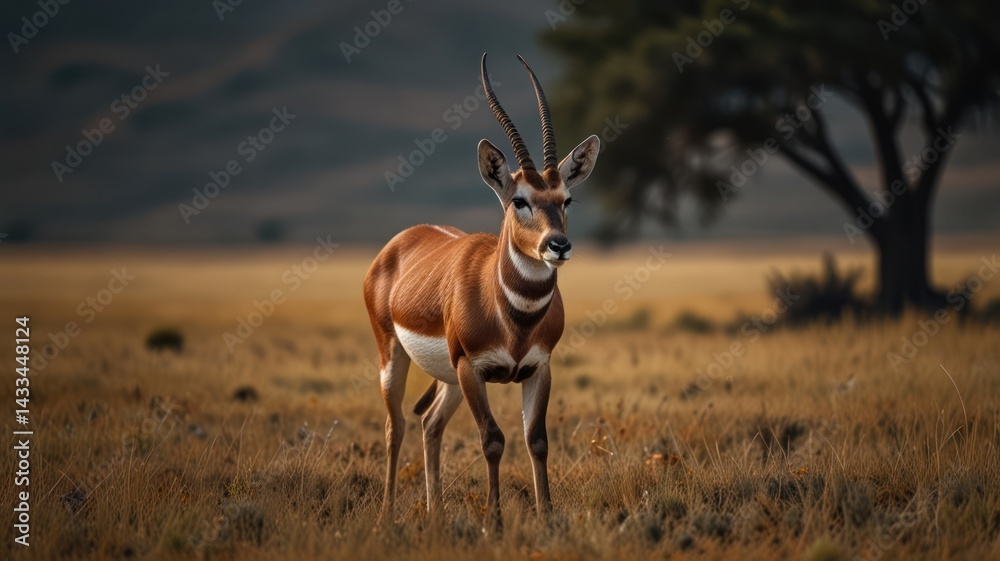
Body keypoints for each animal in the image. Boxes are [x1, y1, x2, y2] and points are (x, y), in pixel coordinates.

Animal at [363, 53, 600, 527]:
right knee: (396, 425)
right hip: (395, 357)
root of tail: (399, 242)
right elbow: (492, 440)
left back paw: (435, 513)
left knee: (429, 424)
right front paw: (495, 521)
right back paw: (387, 514)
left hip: (449, 380)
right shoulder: (472, 369)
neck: (513, 316)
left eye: (565, 199)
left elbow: (536, 440)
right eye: (519, 200)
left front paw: (546, 518)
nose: (558, 245)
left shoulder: (539, 369)